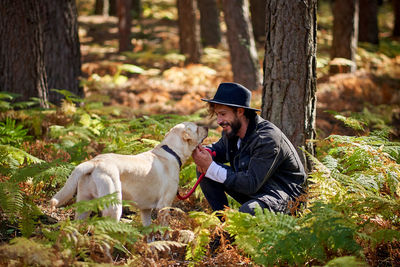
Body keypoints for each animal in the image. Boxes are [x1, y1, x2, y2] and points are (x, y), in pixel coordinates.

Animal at [49, 122, 209, 227]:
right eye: (197, 128)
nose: (208, 127)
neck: (171, 151)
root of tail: (94, 162)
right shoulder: (163, 207)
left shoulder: (145, 210)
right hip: (114, 208)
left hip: (84, 205)